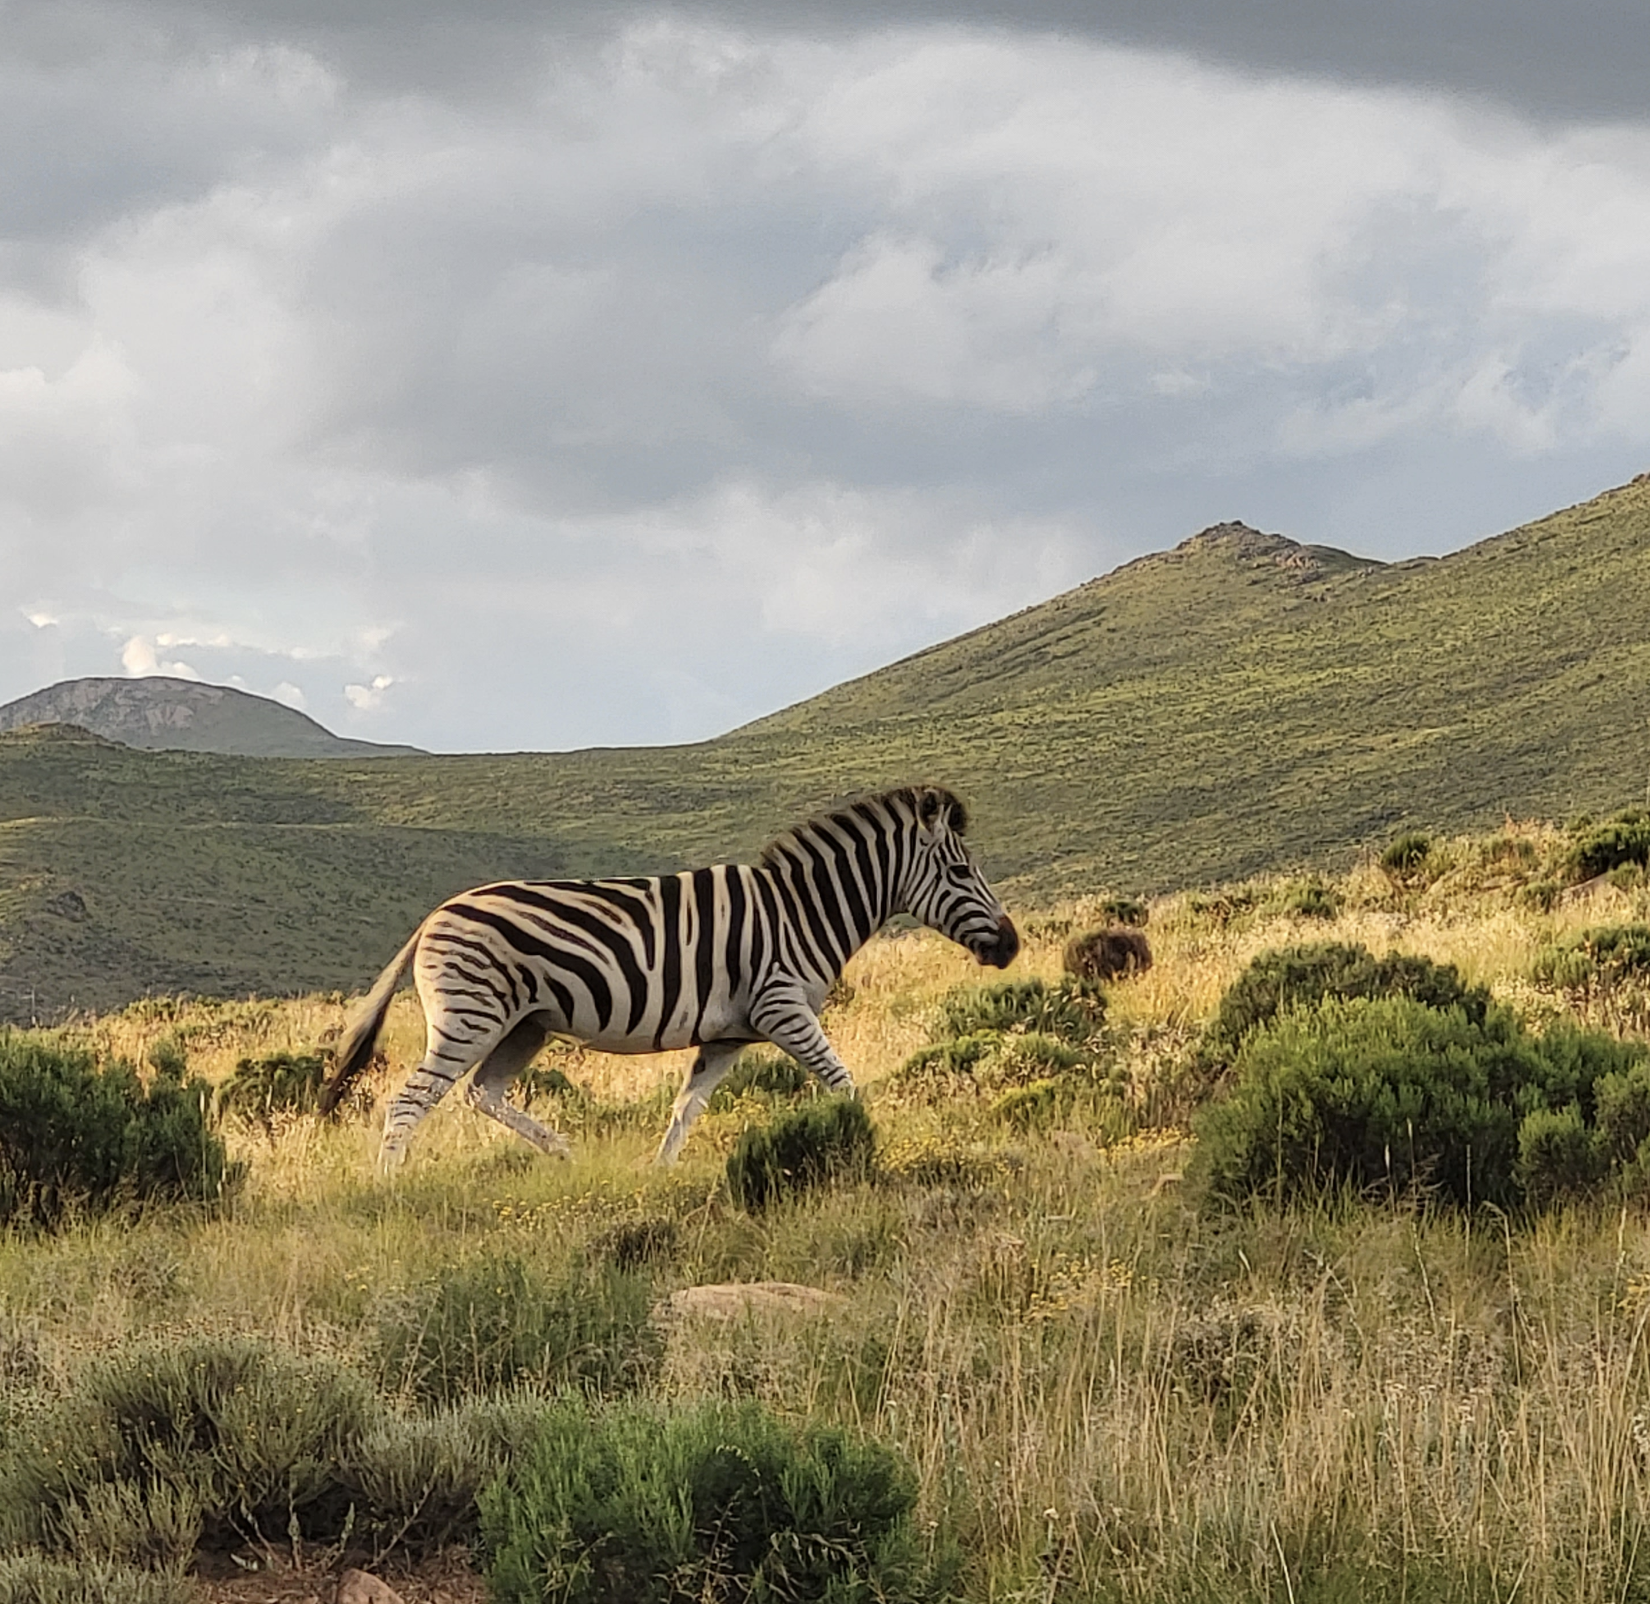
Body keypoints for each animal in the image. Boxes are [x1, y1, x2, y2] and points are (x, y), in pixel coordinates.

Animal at [318, 784, 1019, 1167]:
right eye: (962, 873)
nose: (1011, 946)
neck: (804, 909)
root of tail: (434, 914)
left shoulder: (728, 1035)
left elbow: (686, 1110)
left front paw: (656, 1174)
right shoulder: (783, 1006)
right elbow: (844, 1083)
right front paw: (865, 1146)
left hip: (526, 1025)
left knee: (483, 1094)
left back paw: (566, 1154)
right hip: (472, 1017)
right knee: (411, 1100)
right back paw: (390, 1185)